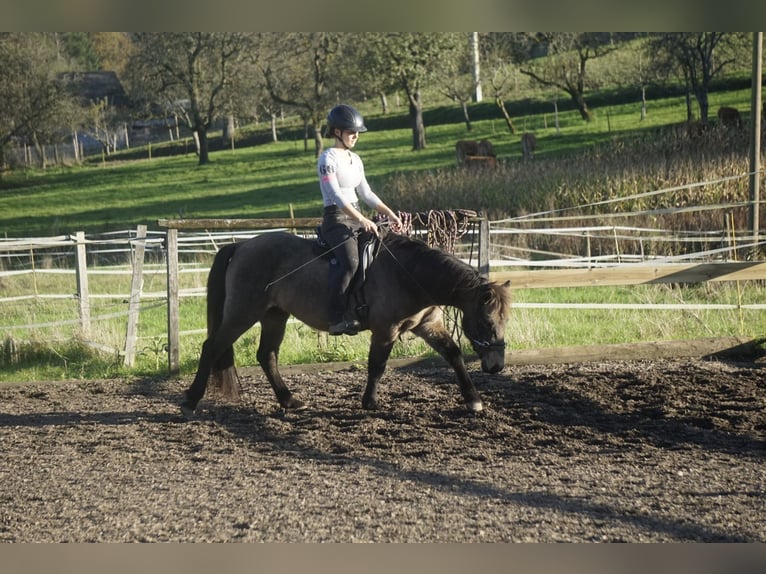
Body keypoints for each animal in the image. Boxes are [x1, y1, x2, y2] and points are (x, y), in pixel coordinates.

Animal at [182, 230, 512, 418]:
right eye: (486, 320)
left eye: (504, 319)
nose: (497, 365)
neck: (409, 274)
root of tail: (241, 245)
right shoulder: (385, 330)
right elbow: (377, 365)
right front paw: (370, 403)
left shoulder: (428, 325)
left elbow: (454, 355)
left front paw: (473, 401)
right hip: (242, 312)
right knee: (212, 347)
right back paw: (191, 401)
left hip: (274, 315)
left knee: (267, 355)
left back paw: (289, 400)